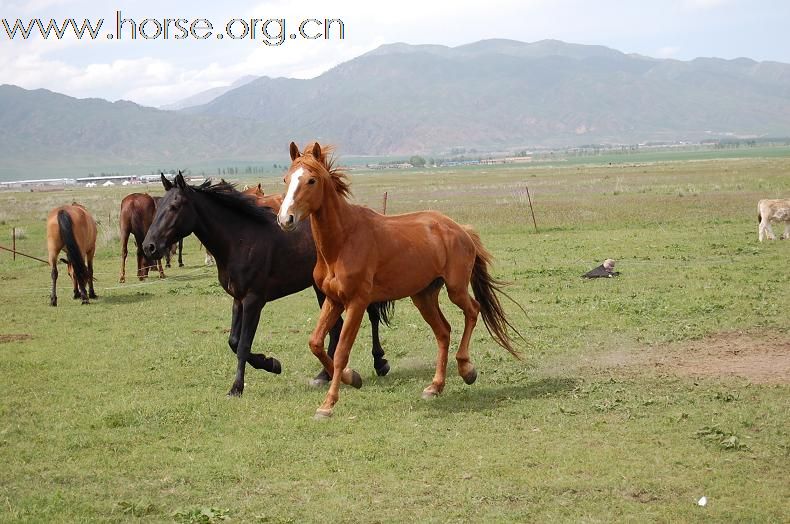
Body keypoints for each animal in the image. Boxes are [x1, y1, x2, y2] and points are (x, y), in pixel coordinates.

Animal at [142, 174, 392, 396]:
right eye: (158, 206)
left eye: (175, 206)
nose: (149, 246)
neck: (240, 240)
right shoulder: (238, 299)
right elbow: (234, 341)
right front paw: (271, 363)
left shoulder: (254, 300)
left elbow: (243, 345)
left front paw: (237, 387)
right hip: (322, 289)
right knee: (337, 327)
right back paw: (324, 375)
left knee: (371, 316)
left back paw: (380, 362)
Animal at [278, 141, 524, 420]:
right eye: (286, 179)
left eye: (311, 180)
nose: (285, 219)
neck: (343, 241)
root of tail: (460, 229)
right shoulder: (333, 300)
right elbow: (316, 343)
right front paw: (354, 378)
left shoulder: (357, 302)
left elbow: (341, 351)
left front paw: (327, 405)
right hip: (423, 295)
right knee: (443, 332)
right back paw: (435, 387)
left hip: (455, 289)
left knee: (473, 311)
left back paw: (466, 370)